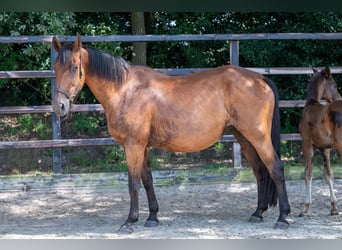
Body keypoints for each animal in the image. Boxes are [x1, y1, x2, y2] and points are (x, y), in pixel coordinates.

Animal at [52, 34, 290, 233]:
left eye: (74, 67)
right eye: (55, 67)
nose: (59, 106)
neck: (126, 90)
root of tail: (259, 79)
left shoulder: (133, 145)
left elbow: (133, 182)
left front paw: (130, 221)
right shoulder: (142, 146)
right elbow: (147, 180)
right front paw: (152, 217)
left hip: (258, 137)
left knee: (275, 168)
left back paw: (283, 217)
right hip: (244, 138)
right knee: (260, 171)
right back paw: (258, 212)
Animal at [298, 66, 340, 217]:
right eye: (334, 85)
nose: (339, 98)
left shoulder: (306, 144)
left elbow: (308, 173)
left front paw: (305, 207)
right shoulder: (325, 148)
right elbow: (328, 174)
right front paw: (334, 207)